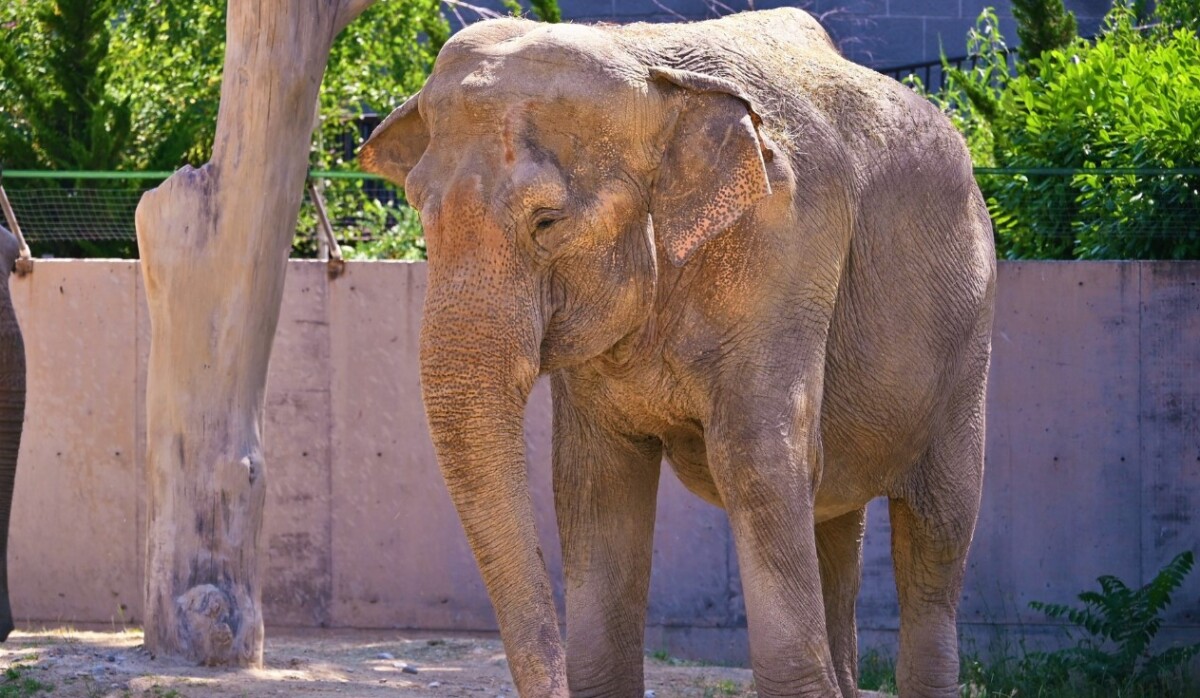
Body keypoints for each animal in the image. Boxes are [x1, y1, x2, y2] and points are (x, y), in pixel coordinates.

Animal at [357, 6, 993, 698]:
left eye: (546, 222)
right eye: (419, 211)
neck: (652, 73)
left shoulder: (787, 247)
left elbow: (757, 460)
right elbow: (595, 480)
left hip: (969, 335)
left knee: (936, 531)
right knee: (835, 517)